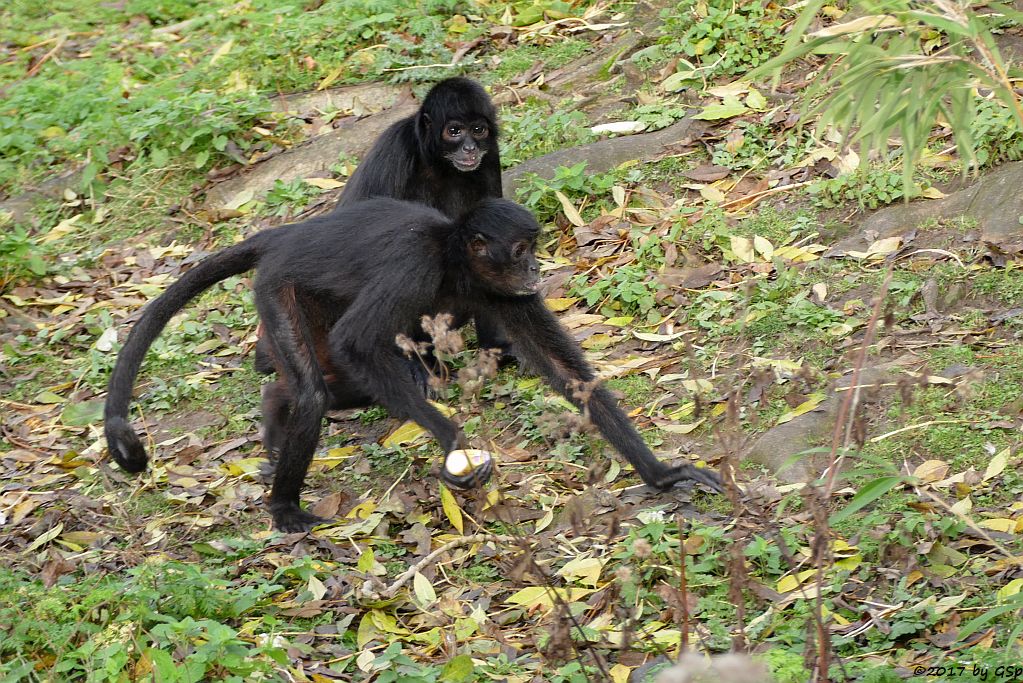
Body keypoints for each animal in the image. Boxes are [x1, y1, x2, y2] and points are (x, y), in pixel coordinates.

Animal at [103, 197, 724, 531]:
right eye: (523, 250)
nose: (535, 270)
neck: (450, 257)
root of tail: (287, 236)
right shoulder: (413, 266)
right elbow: (357, 344)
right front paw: (453, 441)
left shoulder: (496, 292)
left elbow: (564, 370)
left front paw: (661, 474)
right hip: (277, 289)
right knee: (318, 388)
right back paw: (283, 505)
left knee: (321, 385)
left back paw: (275, 416)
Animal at [254, 80, 507, 378]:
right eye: (454, 131)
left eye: (478, 130)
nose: (469, 148)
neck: (440, 166)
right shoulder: (395, 147)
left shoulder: (489, 156)